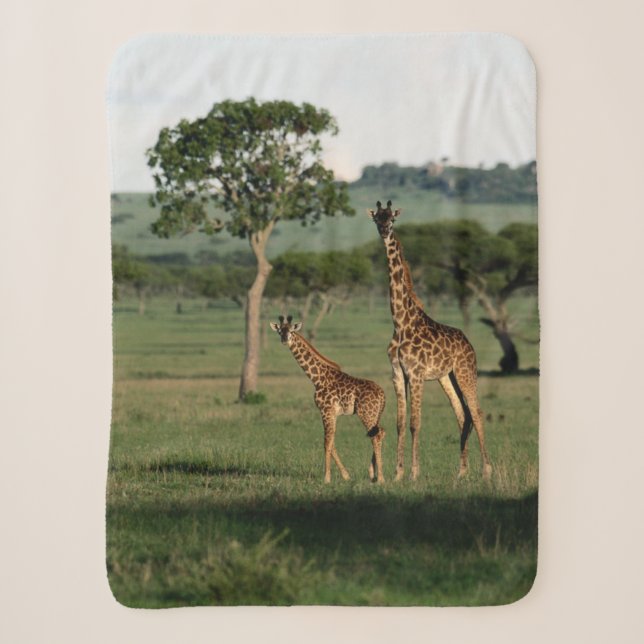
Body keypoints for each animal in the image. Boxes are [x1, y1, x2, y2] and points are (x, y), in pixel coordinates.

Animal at [270, 315, 386, 483]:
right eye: (280, 331)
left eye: (291, 331)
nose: (285, 340)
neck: (317, 378)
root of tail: (383, 395)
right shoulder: (332, 413)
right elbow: (332, 443)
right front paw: (346, 476)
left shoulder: (326, 410)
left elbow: (326, 442)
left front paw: (326, 478)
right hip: (375, 414)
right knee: (380, 432)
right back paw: (373, 474)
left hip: (366, 414)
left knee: (375, 436)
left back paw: (381, 478)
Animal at [368, 200, 492, 481]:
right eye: (377, 219)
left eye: (392, 219)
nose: (384, 231)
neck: (400, 322)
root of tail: (469, 343)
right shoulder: (397, 374)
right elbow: (400, 422)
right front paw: (397, 474)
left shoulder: (416, 374)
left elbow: (415, 423)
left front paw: (414, 473)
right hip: (447, 377)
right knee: (463, 414)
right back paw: (461, 472)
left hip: (466, 372)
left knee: (477, 412)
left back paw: (487, 470)